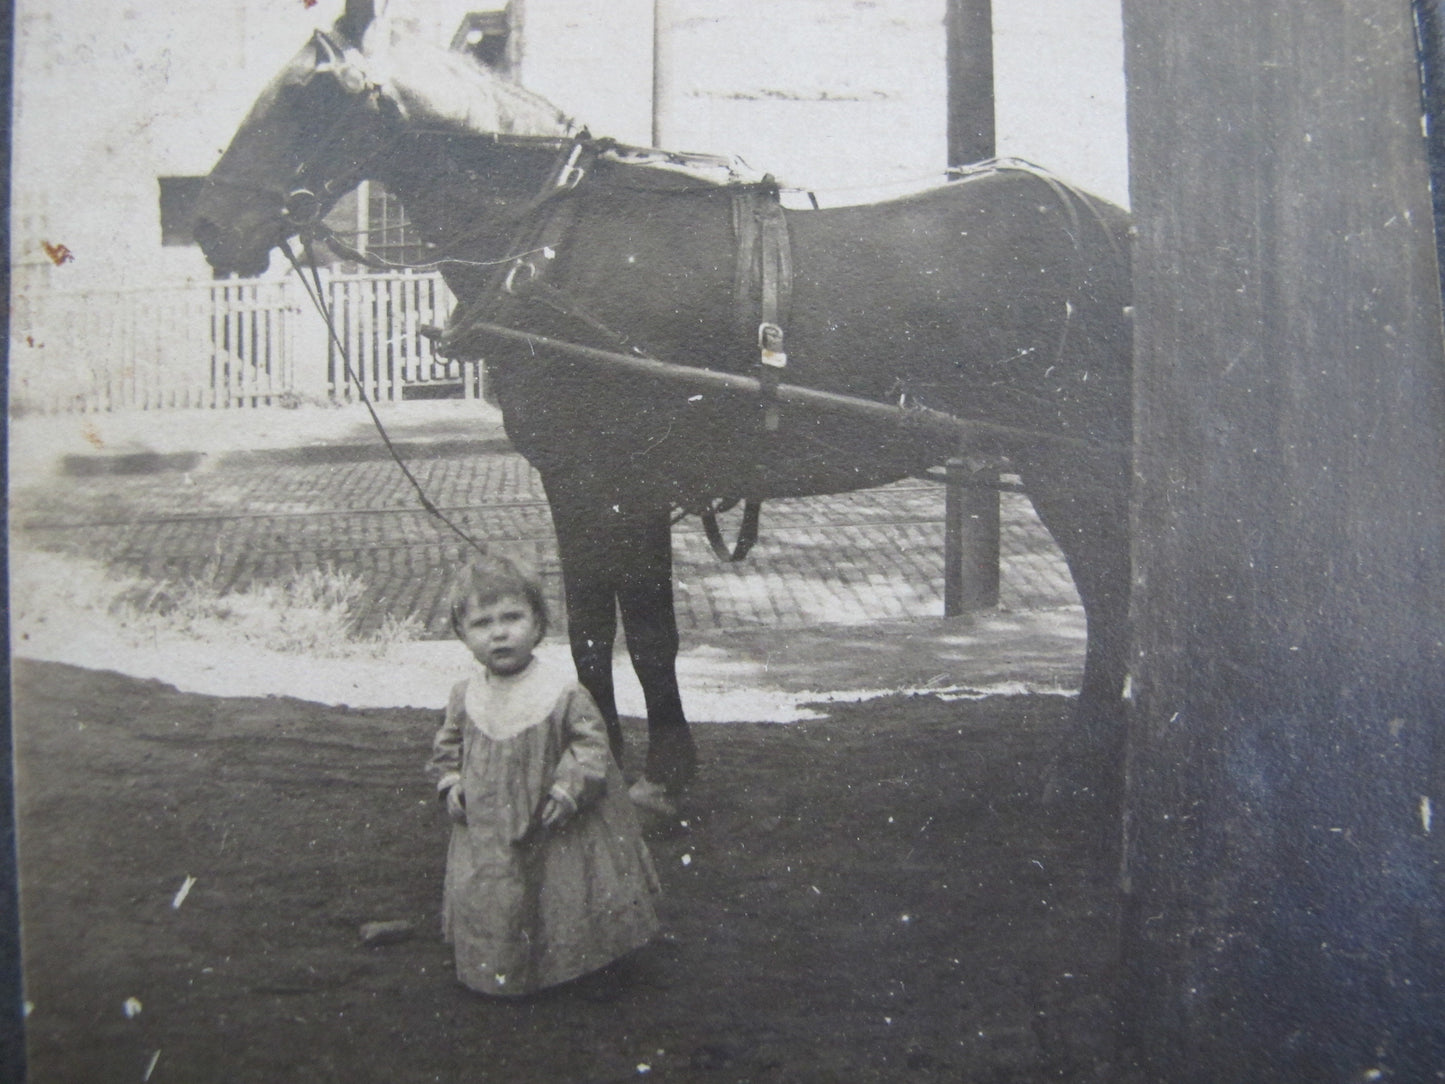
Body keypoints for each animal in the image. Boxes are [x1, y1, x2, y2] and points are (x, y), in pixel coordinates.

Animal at [195, 4, 1138, 809]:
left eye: (308, 93)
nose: (209, 224)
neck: (560, 244)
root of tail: (1115, 223)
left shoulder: (626, 486)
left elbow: (644, 632)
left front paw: (657, 772)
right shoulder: (576, 484)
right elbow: (587, 631)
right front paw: (606, 759)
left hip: (1068, 459)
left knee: (1111, 594)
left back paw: (1084, 763)